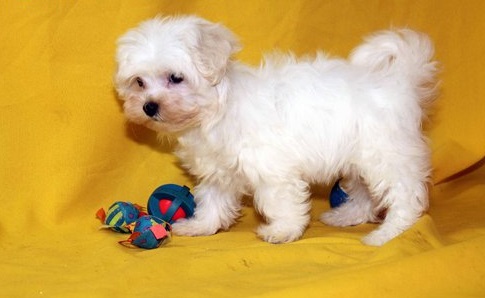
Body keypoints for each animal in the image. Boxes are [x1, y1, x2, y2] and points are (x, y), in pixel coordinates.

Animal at [115, 15, 436, 246]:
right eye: (139, 82)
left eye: (176, 78)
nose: (149, 106)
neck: (216, 111)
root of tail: (398, 79)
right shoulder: (219, 169)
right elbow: (213, 199)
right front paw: (201, 226)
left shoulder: (272, 169)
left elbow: (281, 202)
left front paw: (283, 230)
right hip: (360, 158)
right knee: (366, 193)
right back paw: (347, 216)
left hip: (385, 154)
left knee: (406, 195)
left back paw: (388, 233)